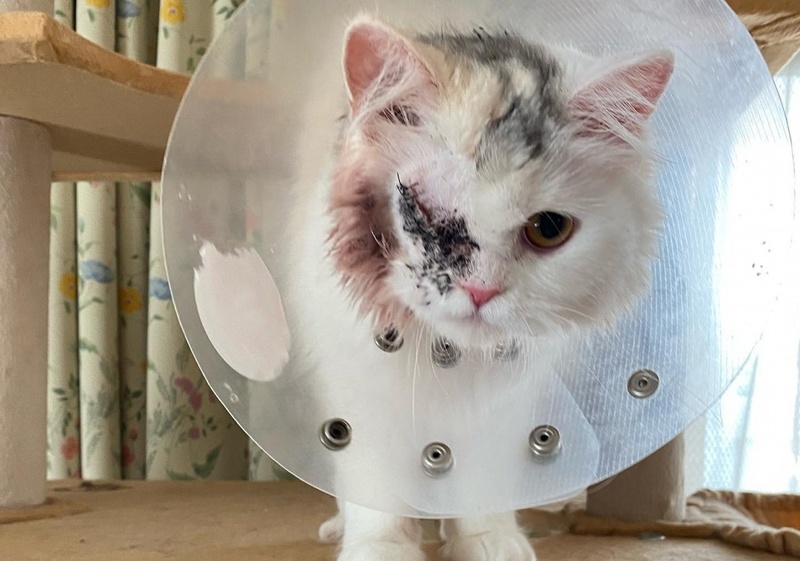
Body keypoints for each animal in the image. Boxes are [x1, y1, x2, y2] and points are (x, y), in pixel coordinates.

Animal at [282, 14, 674, 561]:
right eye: (428, 212)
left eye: (548, 229)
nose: (481, 291)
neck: (448, 361)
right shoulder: (361, 392)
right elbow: (377, 491)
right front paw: (382, 547)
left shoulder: (505, 410)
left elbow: (481, 486)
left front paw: (491, 541)